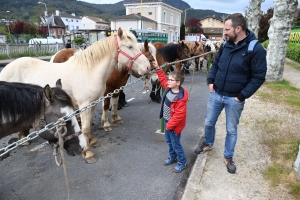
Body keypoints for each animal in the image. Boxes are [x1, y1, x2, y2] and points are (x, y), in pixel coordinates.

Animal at [0, 28, 150, 163]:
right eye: (129, 46)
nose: (147, 67)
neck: (89, 71)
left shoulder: (93, 103)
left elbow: (88, 125)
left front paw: (91, 141)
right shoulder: (84, 105)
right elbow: (85, 128)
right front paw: (88, 153)